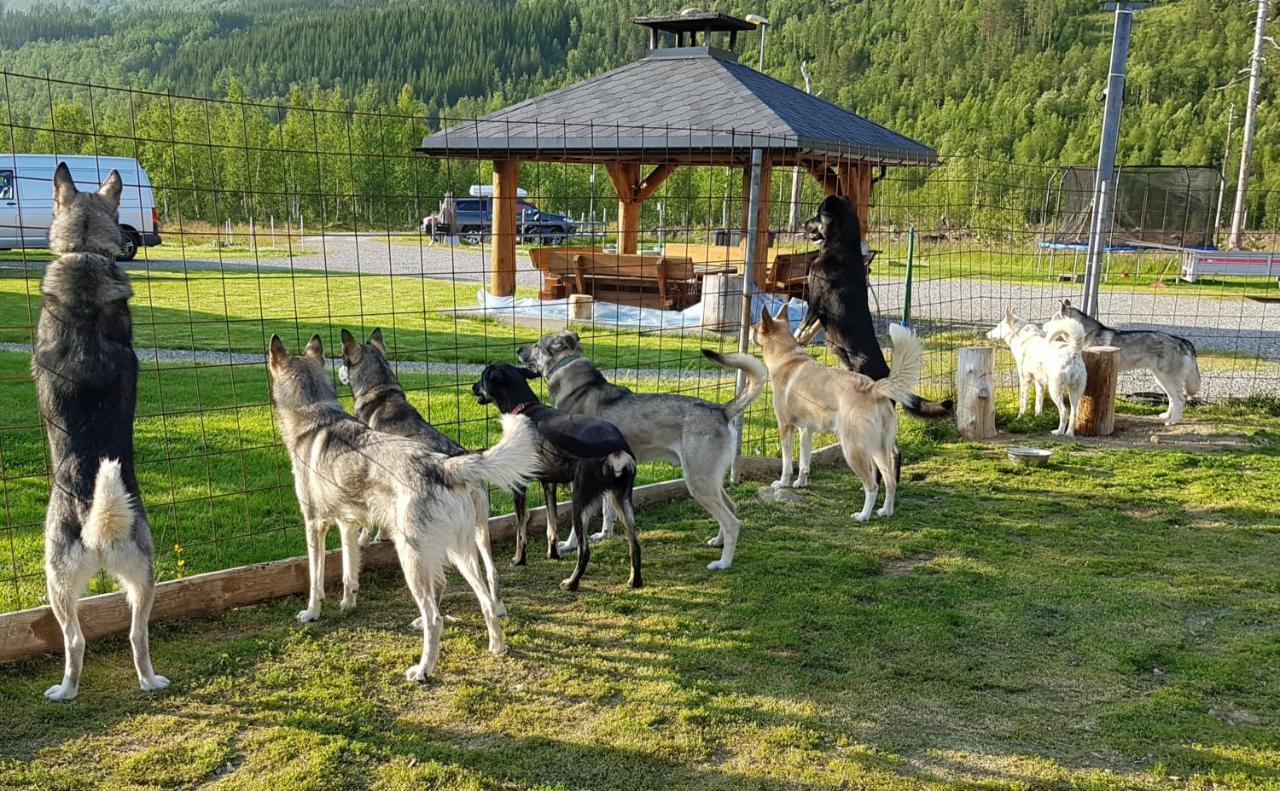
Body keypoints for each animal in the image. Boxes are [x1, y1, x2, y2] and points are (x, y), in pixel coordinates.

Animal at [32, 163, 170, 701]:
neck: (86, 256)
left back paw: (68, 689)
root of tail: (97, 523)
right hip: (142, 576)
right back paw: (142, 682)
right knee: (133, 635)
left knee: (78, 641)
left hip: (56, 579)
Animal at [471, 360, 640, 588]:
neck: (523, 408)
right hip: (621, 499)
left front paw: (519, 559)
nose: (472, 387)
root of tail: (615, 442)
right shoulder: (548, 484)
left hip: (579, 500)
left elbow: (521, 529)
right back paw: (634, 581)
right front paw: (553, 554)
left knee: (584, 550)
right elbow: (552, 525)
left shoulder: (520, 485)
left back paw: (571, 584)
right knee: (634, 545)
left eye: (482, 377)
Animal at [514, 330, 762, 570]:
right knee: (731, 507)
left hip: (698, 481)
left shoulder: (580, 479)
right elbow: (607, 511)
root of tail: (722, 410)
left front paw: (568, 545)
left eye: (536, 344)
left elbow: (580, 522)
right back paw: (718, 542)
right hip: (709, 479)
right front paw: (605, 534)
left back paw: (723, 562)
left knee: (731, 522)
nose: (517, 350)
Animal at [752, 304, 926, 519]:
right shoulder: (805, 430)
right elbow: (804, 462)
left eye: (755, 326)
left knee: (872, 486)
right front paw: (801, 483)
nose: (749, 328)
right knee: (890, 481)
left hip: (853, 450)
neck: (787, 358)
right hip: (879, 449)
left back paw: (863, 516)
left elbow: (786, 463)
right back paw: (886, 511)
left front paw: (783, 483)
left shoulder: (785, 427)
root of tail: (873, 388)